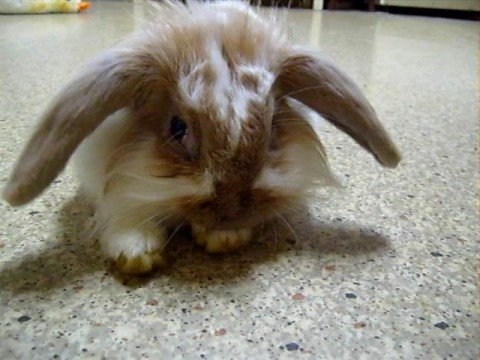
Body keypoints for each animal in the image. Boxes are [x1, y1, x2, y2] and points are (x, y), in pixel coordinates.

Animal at [2, 0, 402, 276]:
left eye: (274, 123)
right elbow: (125, 208)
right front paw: (136, 253)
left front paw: (224, 238)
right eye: (177, 128)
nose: (231, 208)